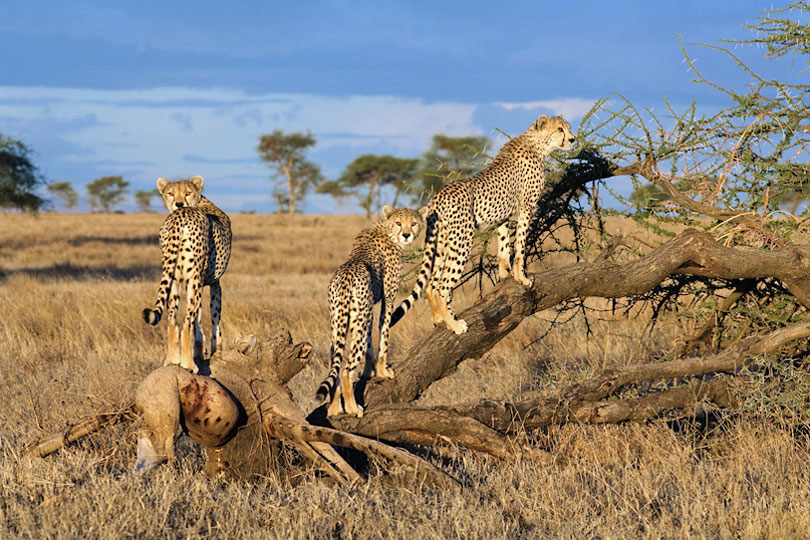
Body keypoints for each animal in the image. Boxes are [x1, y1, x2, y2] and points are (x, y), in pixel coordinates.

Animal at [141, 175, 230, 374]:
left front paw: (199, 352)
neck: (200, 202)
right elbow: (214, 320)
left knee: (172, 320)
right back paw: (189, 365)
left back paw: (173, 360)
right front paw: (215, 352)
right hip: (193, 278)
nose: (179, 204)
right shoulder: (215, 284)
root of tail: (179, 215)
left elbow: (199, 323)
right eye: (171, 193)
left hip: (173, 278)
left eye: (188, 193)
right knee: (186, 323)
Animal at [316, 206, 430, 418]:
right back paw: (353, 408)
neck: (387, 230)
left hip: (339, 322)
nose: (406, 235)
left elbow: (370, 343)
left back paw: (335, 408)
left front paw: (369, 371)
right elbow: (384, 334)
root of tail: (345, 276)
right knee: (346, 370)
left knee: (335, 365)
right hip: (357, 323)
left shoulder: (368, 309)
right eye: (399, 223)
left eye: (414, 223)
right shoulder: (389, 297)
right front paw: (383, 370)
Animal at [388, 114, 572, 334]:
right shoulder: (526, 207)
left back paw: (440, 319)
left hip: (441, 244)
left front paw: (505, 274)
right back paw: (454, 325)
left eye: (568, 127)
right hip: (462, 242)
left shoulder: (502, 215)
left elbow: (503, 246)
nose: (572, 139)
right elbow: (519, 246)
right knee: (442, 286)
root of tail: (438, 197)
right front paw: (522, 278)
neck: (536, 144)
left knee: (431, 284)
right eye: (560, 129)